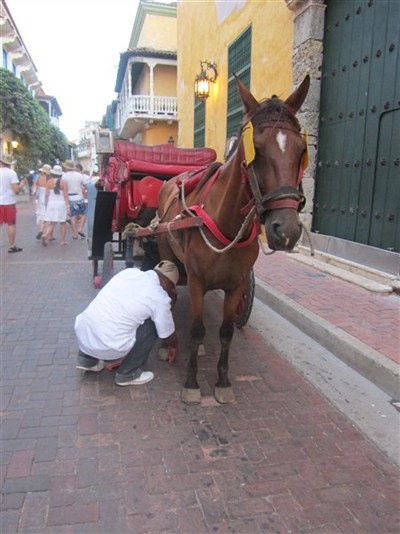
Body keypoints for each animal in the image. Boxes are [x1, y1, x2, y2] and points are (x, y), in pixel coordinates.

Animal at [156, 73, 310, 404]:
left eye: (301, 150)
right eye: (256, 150)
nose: (286, 230)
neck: (226, 223)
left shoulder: (237, 284)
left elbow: (225, 332)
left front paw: (223, 381)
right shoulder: (198, 281)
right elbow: (197, 329)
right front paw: (192, 383)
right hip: (165, 251)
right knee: (169, 293)